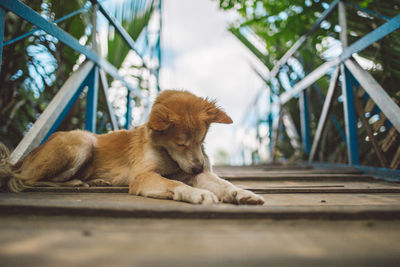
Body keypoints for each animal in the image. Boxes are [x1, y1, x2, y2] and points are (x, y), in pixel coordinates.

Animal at [0, 91, 266, 206]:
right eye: (181, 143)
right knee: (24, 180)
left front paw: (242, 193)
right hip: (83, 141)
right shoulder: (143, 176)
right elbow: (173, 183)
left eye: (202, 140)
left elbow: (224, 184)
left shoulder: (193, 171)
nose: (199, 167)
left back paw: (96, 181)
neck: (167, 153)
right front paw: (195, 194)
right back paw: (74, 183)